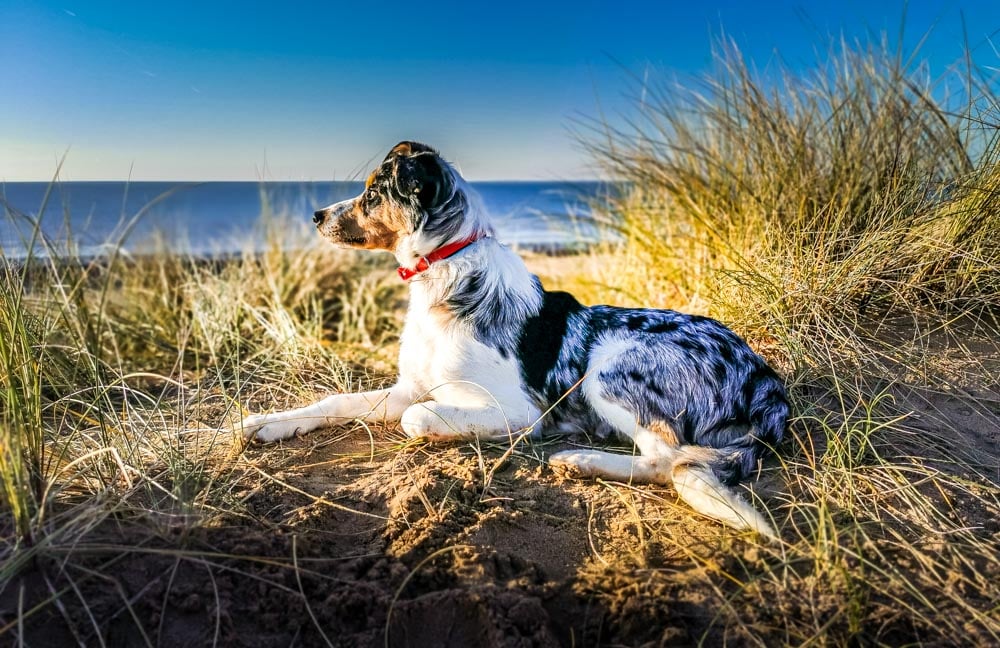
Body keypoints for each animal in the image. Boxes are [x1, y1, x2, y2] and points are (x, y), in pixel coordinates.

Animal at [242, 144, 788, 540]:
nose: (316, 215)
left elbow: (417, 418)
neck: (442, 274)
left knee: (668, 461)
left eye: (373, 192)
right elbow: (336, 401)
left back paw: (581, 460)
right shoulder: (407, 386)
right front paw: (265, 424)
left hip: (609, 367)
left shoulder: (519, 410)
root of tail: (768, 386)